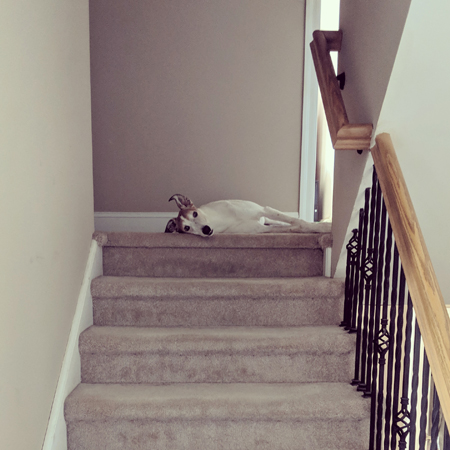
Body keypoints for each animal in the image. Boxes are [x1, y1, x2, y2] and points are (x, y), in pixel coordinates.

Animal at [165, 193, 330, 237]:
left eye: (195, 213)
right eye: (187, 228)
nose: (206, 230)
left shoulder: (264, 210)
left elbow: (297, 221)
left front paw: (325, 227)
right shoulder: (261, 229)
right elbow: (296, 227)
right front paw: (323, 228)